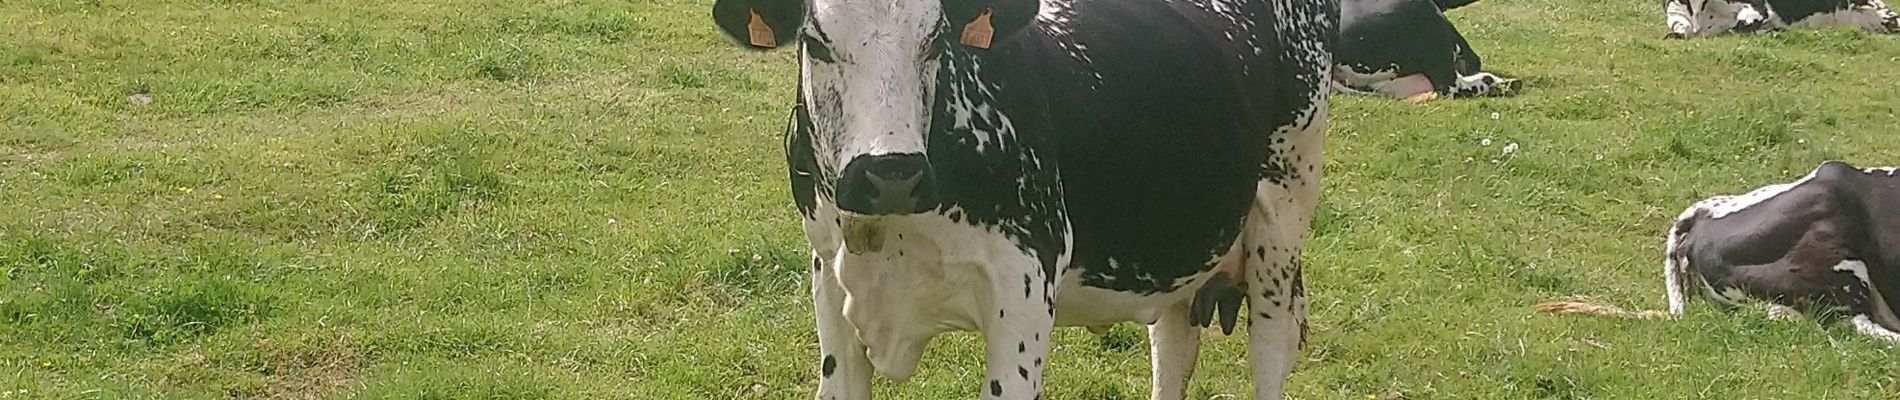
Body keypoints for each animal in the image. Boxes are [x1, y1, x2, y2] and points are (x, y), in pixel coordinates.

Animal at [710, 0, 1337, 396]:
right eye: (816, 43)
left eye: (936, 39)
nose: (891, 172)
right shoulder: (830, 278)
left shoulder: (1025, 288)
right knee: (1174, 344)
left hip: (1284, 215)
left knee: (1271, 346)